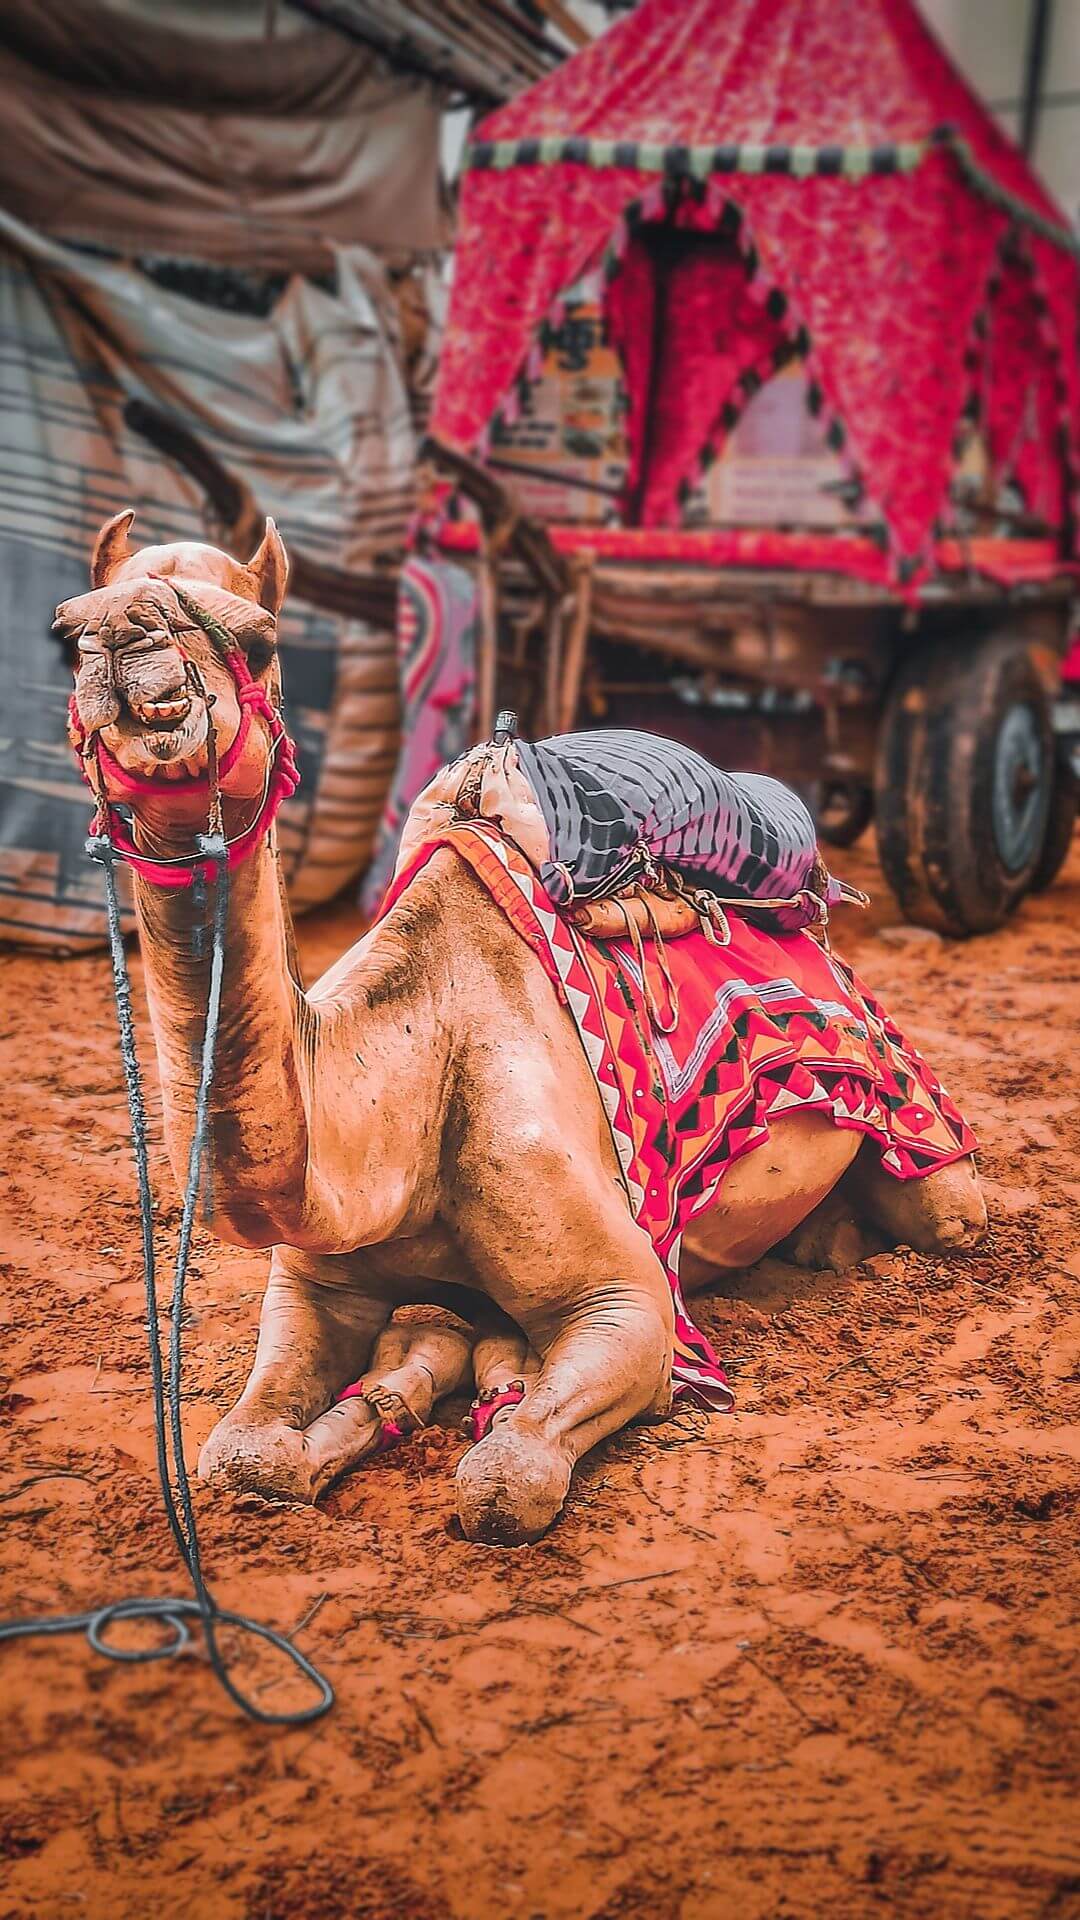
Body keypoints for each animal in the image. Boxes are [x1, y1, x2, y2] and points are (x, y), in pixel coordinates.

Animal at [58, 510, 983, 1543]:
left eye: (258, 641)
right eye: (69, 629)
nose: (123, 636)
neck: (397, 1105)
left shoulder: (630, 1303)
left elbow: (505, 1482)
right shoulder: (314, 1284)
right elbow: (239, 1454)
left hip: (926, 1144)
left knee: (946, 1208)